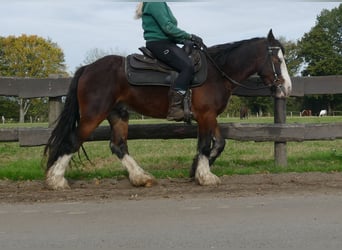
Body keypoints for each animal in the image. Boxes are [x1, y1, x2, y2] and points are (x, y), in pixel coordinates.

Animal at [43, 29, 292, 189]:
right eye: (277, 60)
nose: (287, 88)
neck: (217, 72)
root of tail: (87, 68)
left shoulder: (210, 116)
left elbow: (219, 144)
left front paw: (196, 169)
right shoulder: (206, 115)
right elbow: (205, 145)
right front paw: (205, 176)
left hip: (118, 114)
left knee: (118, 145)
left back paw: (140, 177)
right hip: (93, 115)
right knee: (73, 141)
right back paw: (56, 180)